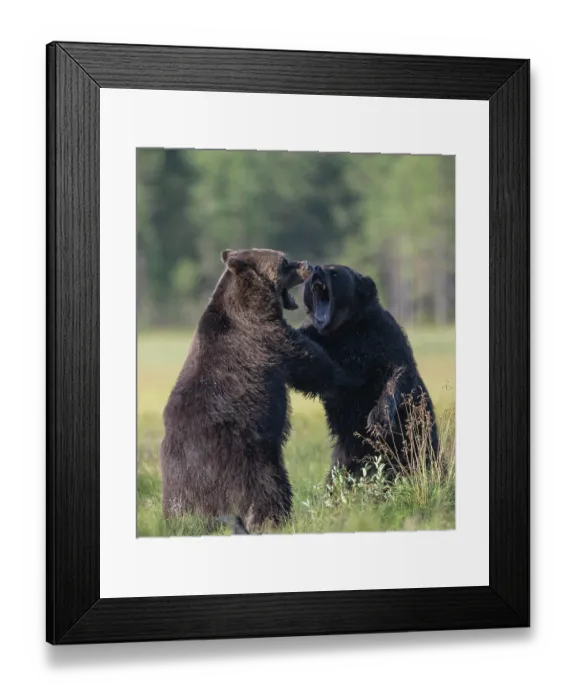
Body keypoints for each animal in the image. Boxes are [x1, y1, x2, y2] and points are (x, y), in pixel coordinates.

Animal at [160, 249, 355, 533]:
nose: (308, 264)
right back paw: (274, 520)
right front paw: (345, 376)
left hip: (179, 480)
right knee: (268, 488)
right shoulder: (267, 337)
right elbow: (311, 363)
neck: (251, 302)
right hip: (245, 457)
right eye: (284, 262)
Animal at [295, 263, 439, 479]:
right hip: (348, 449)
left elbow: (398, 371)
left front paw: (378, 419)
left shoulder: (379, 335)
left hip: (417, 431)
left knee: (424, 456)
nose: (316, 269)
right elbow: (312, 370)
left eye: (335, 272)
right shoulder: (323, 342)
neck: (342, 329)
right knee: (339, 473)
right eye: (319, 270)